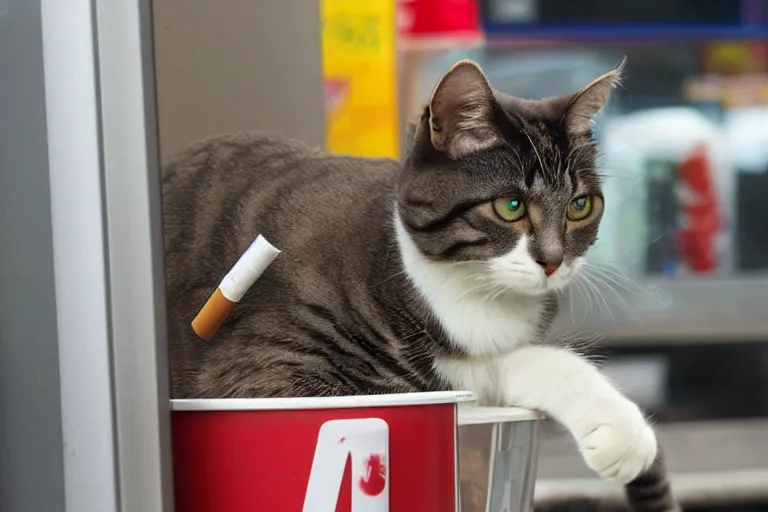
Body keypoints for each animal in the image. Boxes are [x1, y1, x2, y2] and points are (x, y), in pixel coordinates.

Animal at [162, 58, 680, 510]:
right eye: (510, 206)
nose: (553, 262)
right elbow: (446, 371)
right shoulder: (265, 369)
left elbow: (510, 361)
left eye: (580, 206)